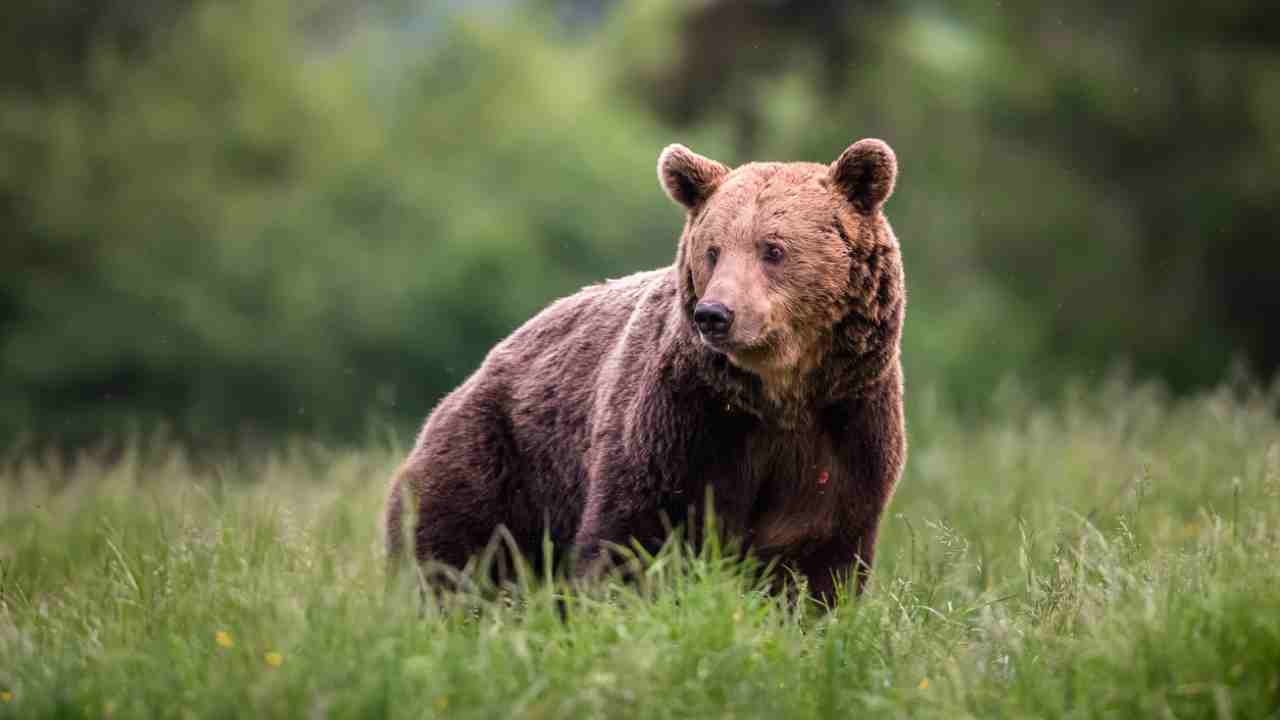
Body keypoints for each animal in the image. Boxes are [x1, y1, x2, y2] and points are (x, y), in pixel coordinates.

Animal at [384, 139, 906, 599]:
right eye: (713, 250)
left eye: (773, 249)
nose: (715, 314)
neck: (776, 395)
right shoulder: (680, 423)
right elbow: (633, 537)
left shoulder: (843, 431)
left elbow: (814, 559)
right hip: (498, 461)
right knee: (459, 558)